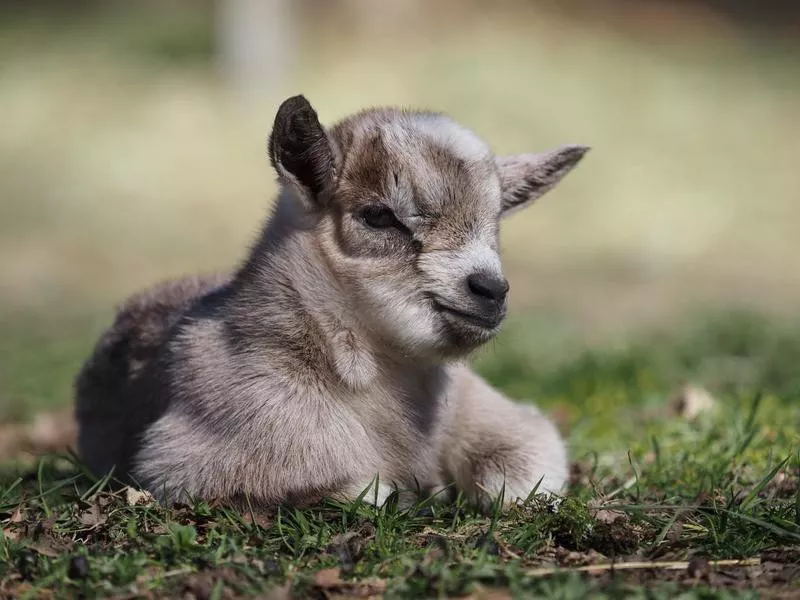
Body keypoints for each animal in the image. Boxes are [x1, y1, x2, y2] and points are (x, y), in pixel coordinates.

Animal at [73, 96, 588, 508]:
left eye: (496, 222)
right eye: (379, 216)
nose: (490, 290)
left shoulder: (499, 419)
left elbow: (520, 479)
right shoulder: (197, 456)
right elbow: (365, 491)